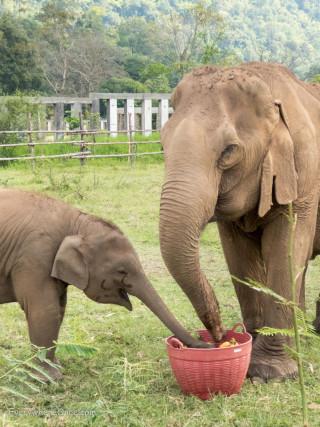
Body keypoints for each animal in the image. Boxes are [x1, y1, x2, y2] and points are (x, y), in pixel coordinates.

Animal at [0, 189, 208, 380]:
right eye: (122, 271)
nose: (208, 344)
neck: (75, 222)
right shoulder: (34, 257)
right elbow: (45, 311)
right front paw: (49, 378)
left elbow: (60, 308)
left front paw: (55, 368)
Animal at [159, 62, 320, 382]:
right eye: (162, 145)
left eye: (229, 151)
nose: (218, 332)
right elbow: (239, 259)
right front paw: (248, 352)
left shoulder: (305, 176)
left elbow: (284, 251)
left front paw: (270, 373)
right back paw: (304, 336)